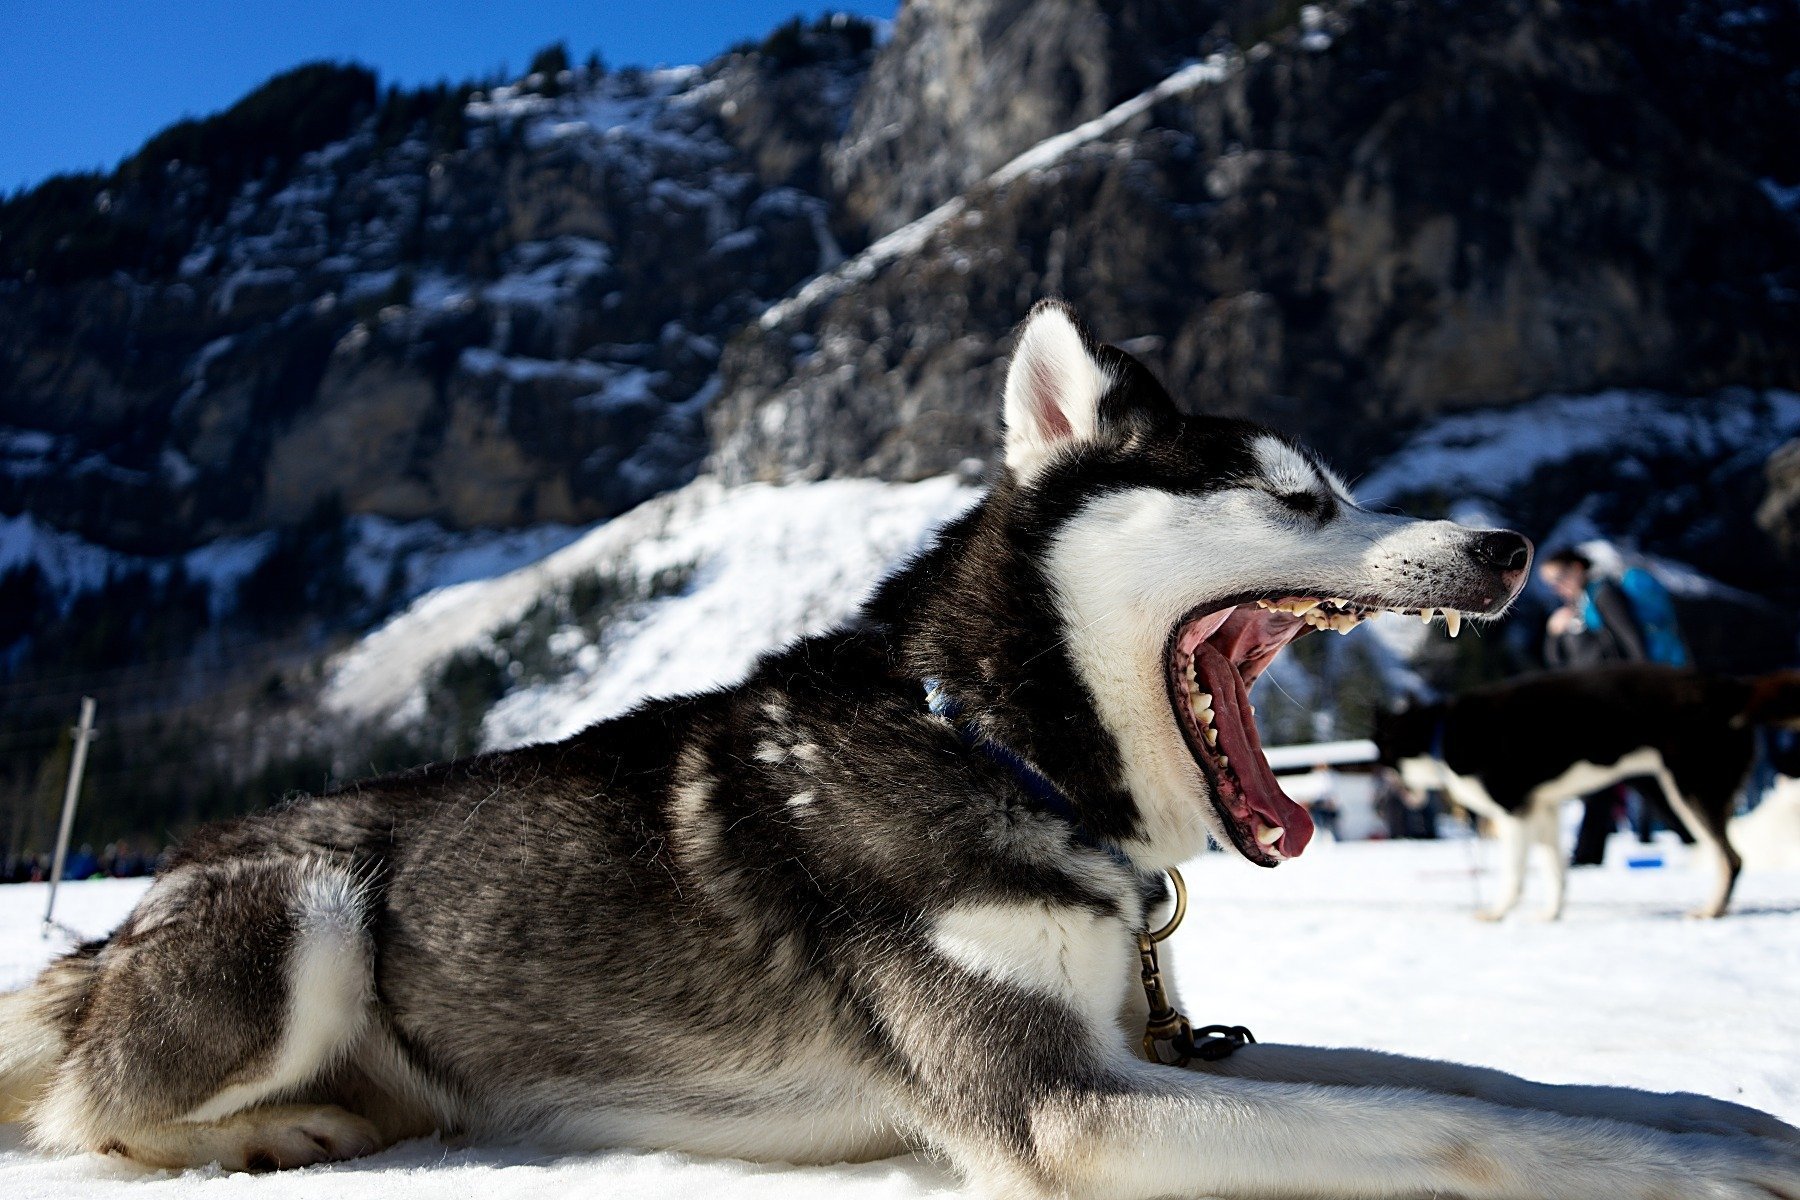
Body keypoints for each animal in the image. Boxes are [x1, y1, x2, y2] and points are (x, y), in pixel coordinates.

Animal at [1375, 665, 1800, 921]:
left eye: (1384, 752)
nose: (1380, 777)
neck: (1441, 732)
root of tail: (1732, 687)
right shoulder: (1544, 810)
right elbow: (1555, 873)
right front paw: (1550, 914)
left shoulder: (1514, 814)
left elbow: (1514, 875)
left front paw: (1498, 913)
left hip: (1689, 792)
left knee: (1731, 860)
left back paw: (1711, 911)